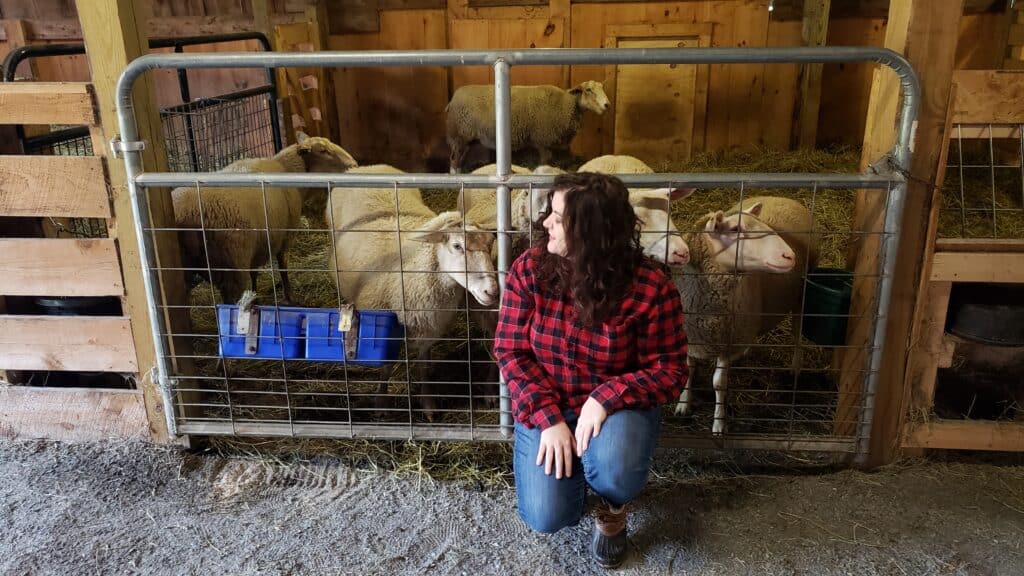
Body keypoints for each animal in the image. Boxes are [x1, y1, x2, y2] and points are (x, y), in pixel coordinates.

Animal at [172, 129, 356, 301]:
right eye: (323, 151)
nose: (353, 165)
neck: (286, 169)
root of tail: (185, 215)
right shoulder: (284, 234)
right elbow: (283, 266)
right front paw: (289, 295)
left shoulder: (258, 244)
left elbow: (254, 272)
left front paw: (254, 294)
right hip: (231, 268)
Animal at [327, 163, 499, 414]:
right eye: (457, 246)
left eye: (489, 244)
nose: (492, 291)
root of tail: (366, 167)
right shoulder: (385, 326)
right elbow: (386, 366)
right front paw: (381, 403)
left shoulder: (429, 326)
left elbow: (423, 367)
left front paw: (428, 403)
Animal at [442, 79, 606, 172]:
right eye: (588, 90)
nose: (607, 105)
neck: (566, 104)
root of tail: (452, 100)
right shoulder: (542, 140)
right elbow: (545, 160)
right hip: (458, 136)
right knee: (453, 160)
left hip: (465, 139)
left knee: (458, 159)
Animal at [671, 194, 823, 432]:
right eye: (734, 229)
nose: (789, 255)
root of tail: (781, 197)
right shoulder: (690, 333)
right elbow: (688, 368)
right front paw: (683, 405)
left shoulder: (727, 340)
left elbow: (719, 384)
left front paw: (718, 424)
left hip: (802, 294)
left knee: (797, 333)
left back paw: (795, 367)